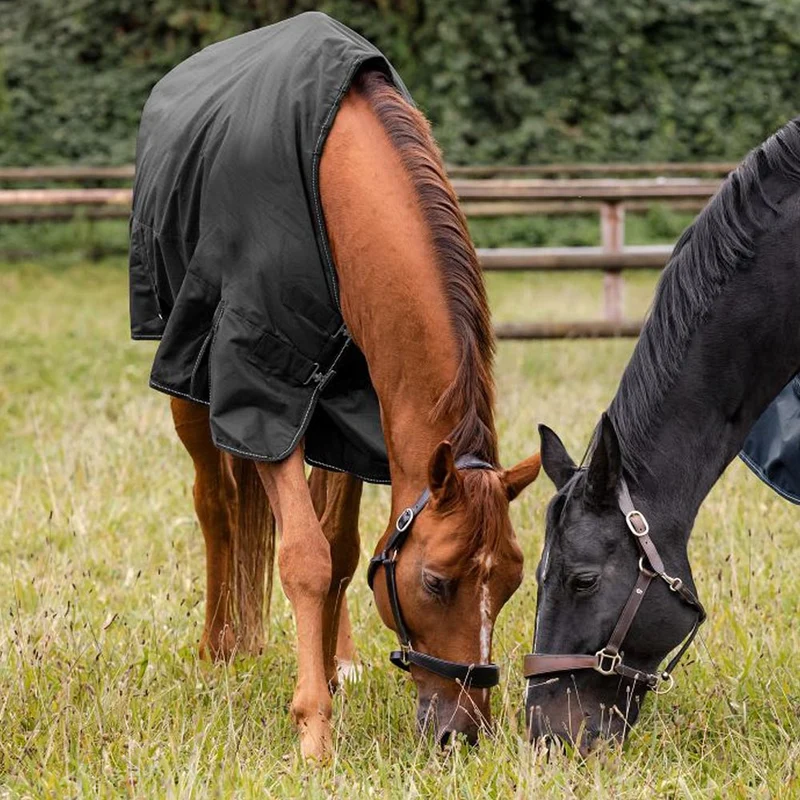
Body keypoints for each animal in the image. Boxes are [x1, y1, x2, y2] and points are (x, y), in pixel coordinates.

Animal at [130, 13, 540, 760]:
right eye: (437, 582)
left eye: (513, 580)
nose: (463, 733)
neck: (336, 177)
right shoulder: (264, 392)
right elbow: (304, 558)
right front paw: (314, 730)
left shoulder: (357, 412)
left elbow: (343, 553)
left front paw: (327, 673)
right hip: (185, 378)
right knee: (214, 504)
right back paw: (217, 649)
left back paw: (334, 657)